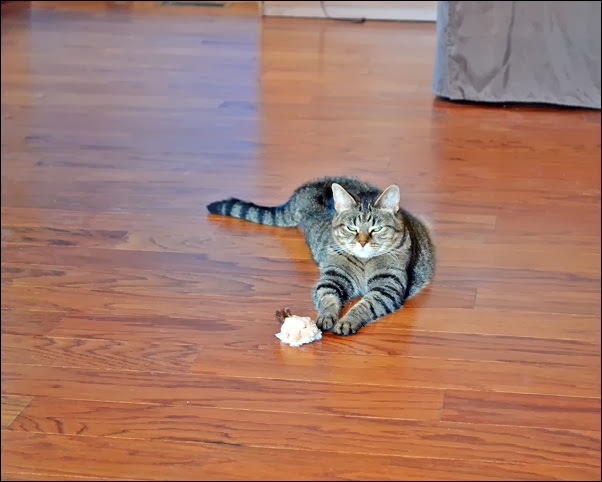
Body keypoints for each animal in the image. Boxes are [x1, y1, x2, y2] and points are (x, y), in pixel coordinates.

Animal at [206, 175, 432, 338]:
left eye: (376, 229)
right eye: (351, 228)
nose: (362, 242)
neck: (364, 263)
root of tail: (306, 188)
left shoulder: (388, 286)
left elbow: (365, 304)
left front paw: (347, 321)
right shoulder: (332, 277)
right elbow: (327, 297)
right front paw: (326, 317)